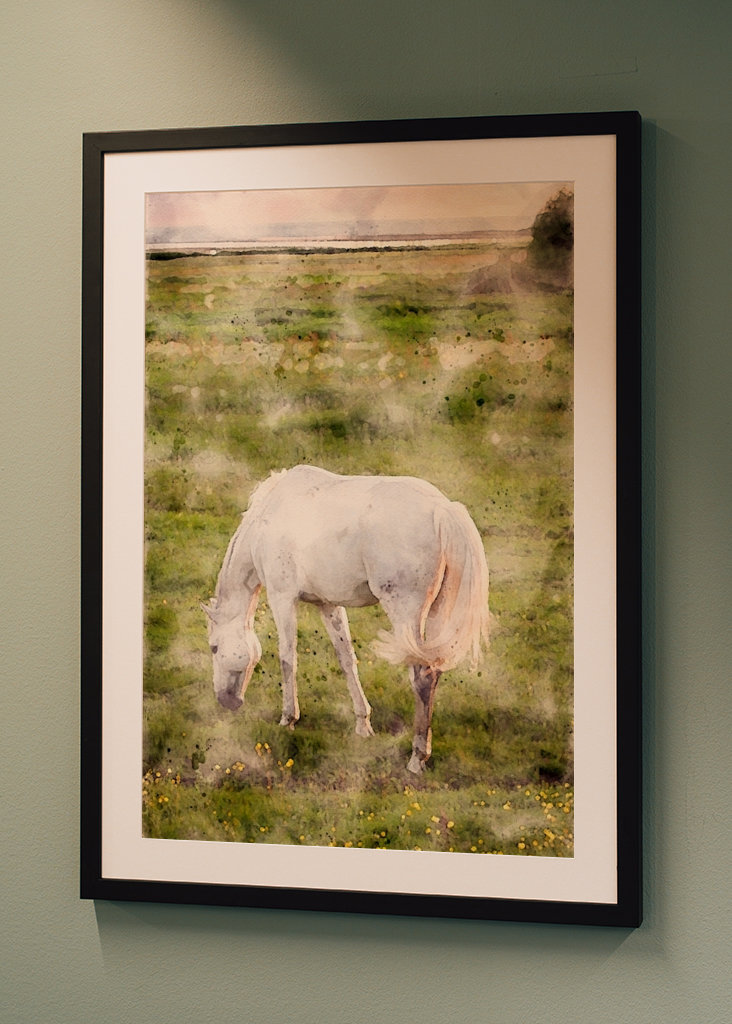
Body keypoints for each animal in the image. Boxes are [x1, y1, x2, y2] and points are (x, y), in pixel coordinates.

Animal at [202, 465, 489, 773]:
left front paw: (288, 719)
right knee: (433, 671)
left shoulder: (282, 597)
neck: (269, 514)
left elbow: (287, 658)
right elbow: (346, 658)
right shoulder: (329, 604)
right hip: (436, 614)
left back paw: (417, 757)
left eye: (214, 648)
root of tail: (442, 509)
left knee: (423, 677)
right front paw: (363, 724)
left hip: (406, 614)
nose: (226, 701)